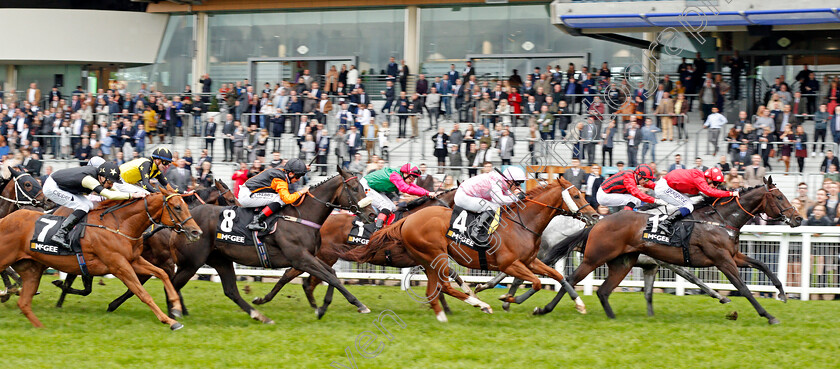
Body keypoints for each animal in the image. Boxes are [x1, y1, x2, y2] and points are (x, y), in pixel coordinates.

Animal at [0, 187, 202, 328]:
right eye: (177, 207)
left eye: (186, 206)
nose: (196, 232)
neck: (119, 226)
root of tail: (5, 219)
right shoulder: (119, 266)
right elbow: (142, 293)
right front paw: (170, 320)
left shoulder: (134, 260)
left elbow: (162, 274)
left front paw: (176, 307)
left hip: (31, 269)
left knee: (24, 303)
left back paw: (39, 324)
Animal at [344, 177, 600, 320]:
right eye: (576, 195)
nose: (595, 215)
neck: (523, 222)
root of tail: (406, 220)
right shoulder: (510, 264)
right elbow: (536, 283)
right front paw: (508, 298)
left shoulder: (529, 261)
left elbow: (558, 276)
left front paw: (579, 304)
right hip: (436, 255)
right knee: (444, 285)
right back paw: (480, 304)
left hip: (429, 260)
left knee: (438, 287)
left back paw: (462, 309)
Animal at [540, 177, 800, 324]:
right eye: (779, 196)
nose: (797, 218)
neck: (719, 220)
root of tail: (597, 221)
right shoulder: (722, 260)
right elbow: (743, 288)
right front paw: (768, 316)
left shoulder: (733, 255)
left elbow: (763, 265)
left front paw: (782, 293)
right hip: (595, 257)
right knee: (570, 279)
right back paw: (545, 308)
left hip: (623, 262)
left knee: (603, 291)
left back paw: (613, 319)